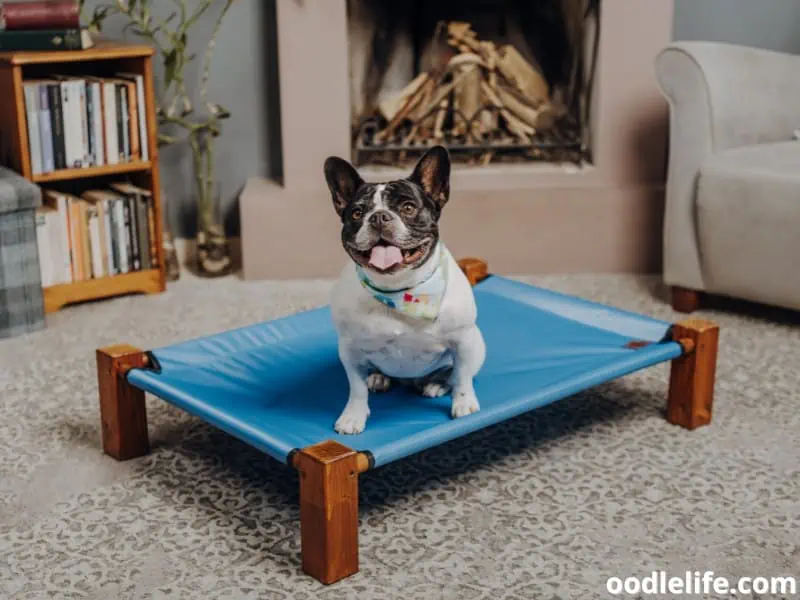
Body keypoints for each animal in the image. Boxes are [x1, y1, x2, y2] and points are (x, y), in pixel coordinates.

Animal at [324, 147, 488, 434]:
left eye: (408, 208)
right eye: (357, 213)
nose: (379, 217)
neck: (399, 291)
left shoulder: (463, 340)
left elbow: (462, 377)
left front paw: (464, 403)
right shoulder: (349, 349)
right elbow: (356, 388)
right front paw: (353, 416)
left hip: (477, 345)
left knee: (452, 373)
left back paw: (436, 384)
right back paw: (378, 378)